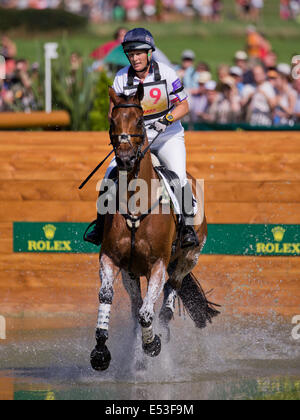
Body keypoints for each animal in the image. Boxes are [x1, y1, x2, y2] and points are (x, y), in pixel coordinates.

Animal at [90, 84, 219, 370]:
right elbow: (106, 295)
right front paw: (101, 352)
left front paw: (152, 345)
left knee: (171, 290)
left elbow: (146, 313)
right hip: (131, 272)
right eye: (112, 121)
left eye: (139, 120)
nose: (125, 159)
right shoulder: (110, 258)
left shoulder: (158, 263)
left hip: (187, 259)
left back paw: (161, 331)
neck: (136, 203)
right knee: (136, 304)